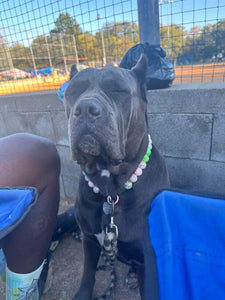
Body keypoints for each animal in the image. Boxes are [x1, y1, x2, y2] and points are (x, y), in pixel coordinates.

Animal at [64, 54, 170, 300]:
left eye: (118, 90)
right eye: (72, 91)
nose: (85, 108)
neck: (110, 190)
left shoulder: (147, 259)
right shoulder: (89, 240)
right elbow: (88, 274)